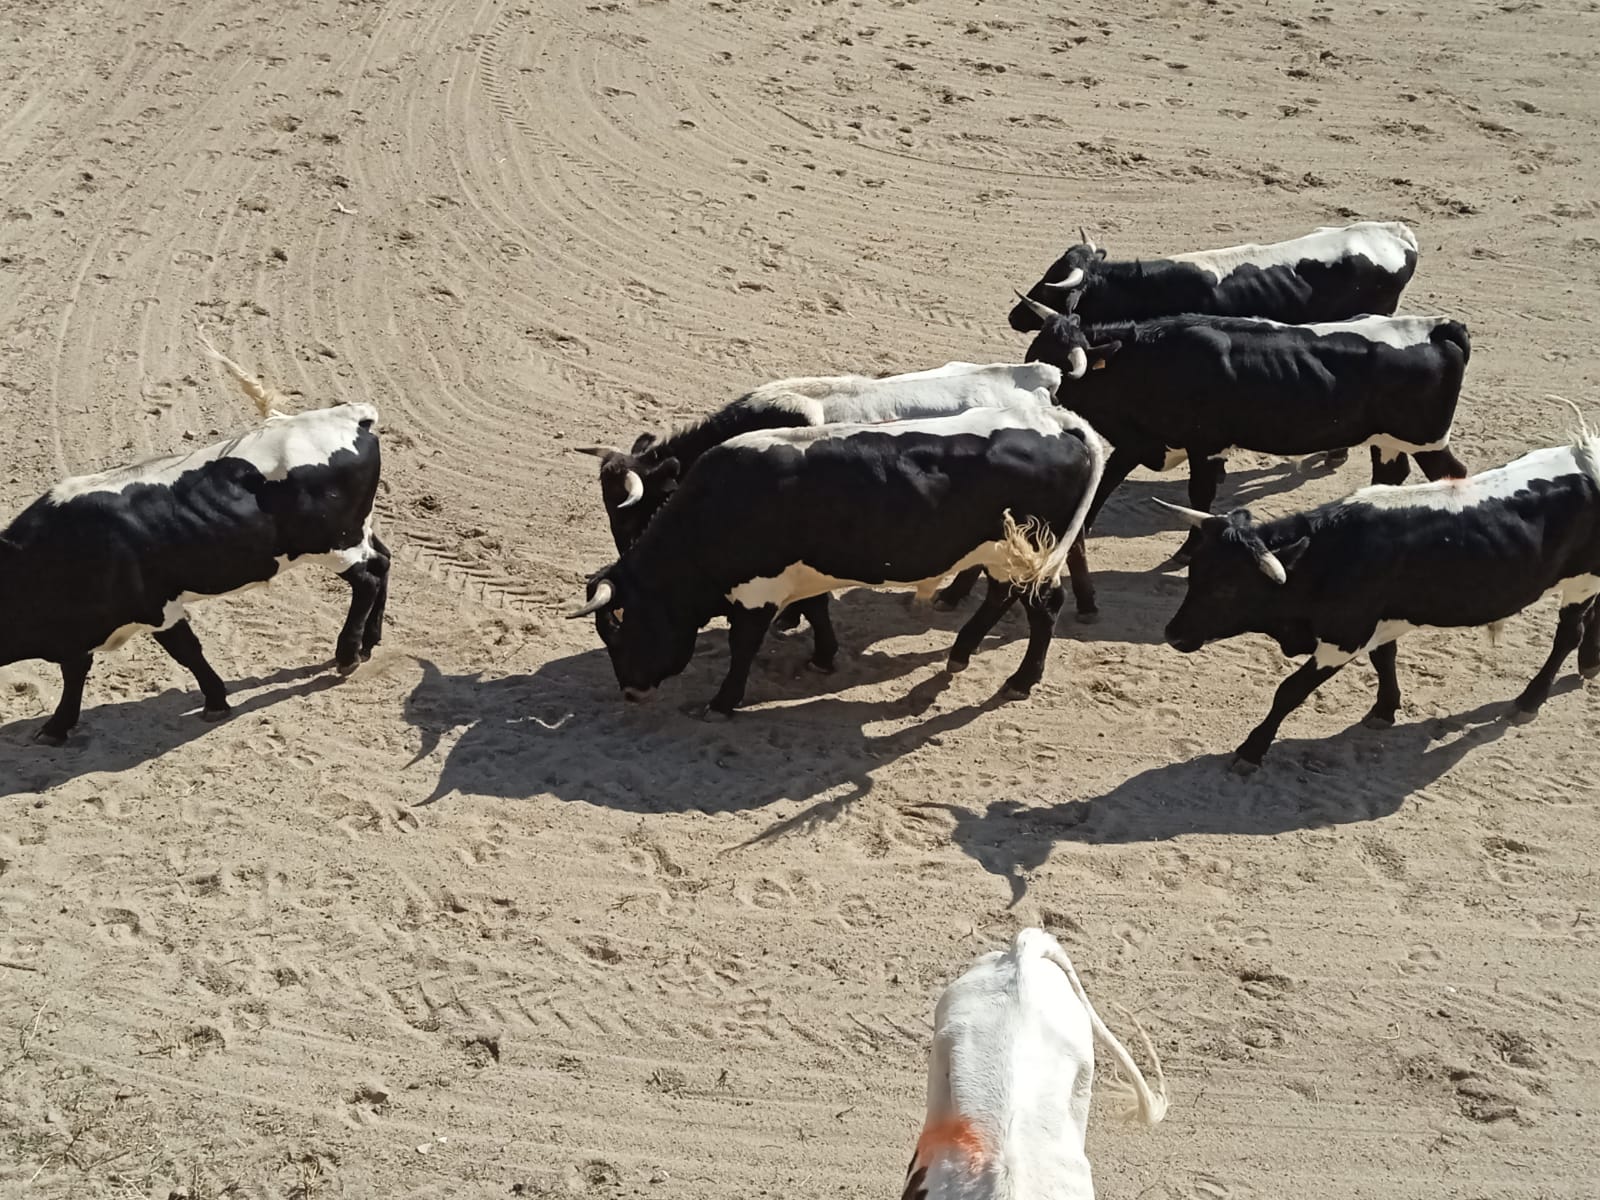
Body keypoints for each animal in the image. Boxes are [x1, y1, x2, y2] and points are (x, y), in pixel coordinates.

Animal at [0, 342, 387, 748]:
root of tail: (350, 416)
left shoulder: (157, 608)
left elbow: (187, 653)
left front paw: (216, 701)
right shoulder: (79, 633)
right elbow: (75, 672)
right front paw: (57, 726)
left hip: (335, 545)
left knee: (367, 581)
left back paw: (348, 655)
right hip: (358, 532)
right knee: (383, 562)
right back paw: (369, 643)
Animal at [1017, 300, 1465, 563]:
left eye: (1059, 373)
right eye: (1033, 352)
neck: (1153, 361)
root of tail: (1440, 326)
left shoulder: (1205, 445)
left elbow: (1200, 495)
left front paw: (1188, 550)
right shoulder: (1141, 440)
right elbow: (1107, 481)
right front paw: (1082, 529)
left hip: (1425, 441)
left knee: (1452, 474)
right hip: (1388, 442)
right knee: (1391, 476)